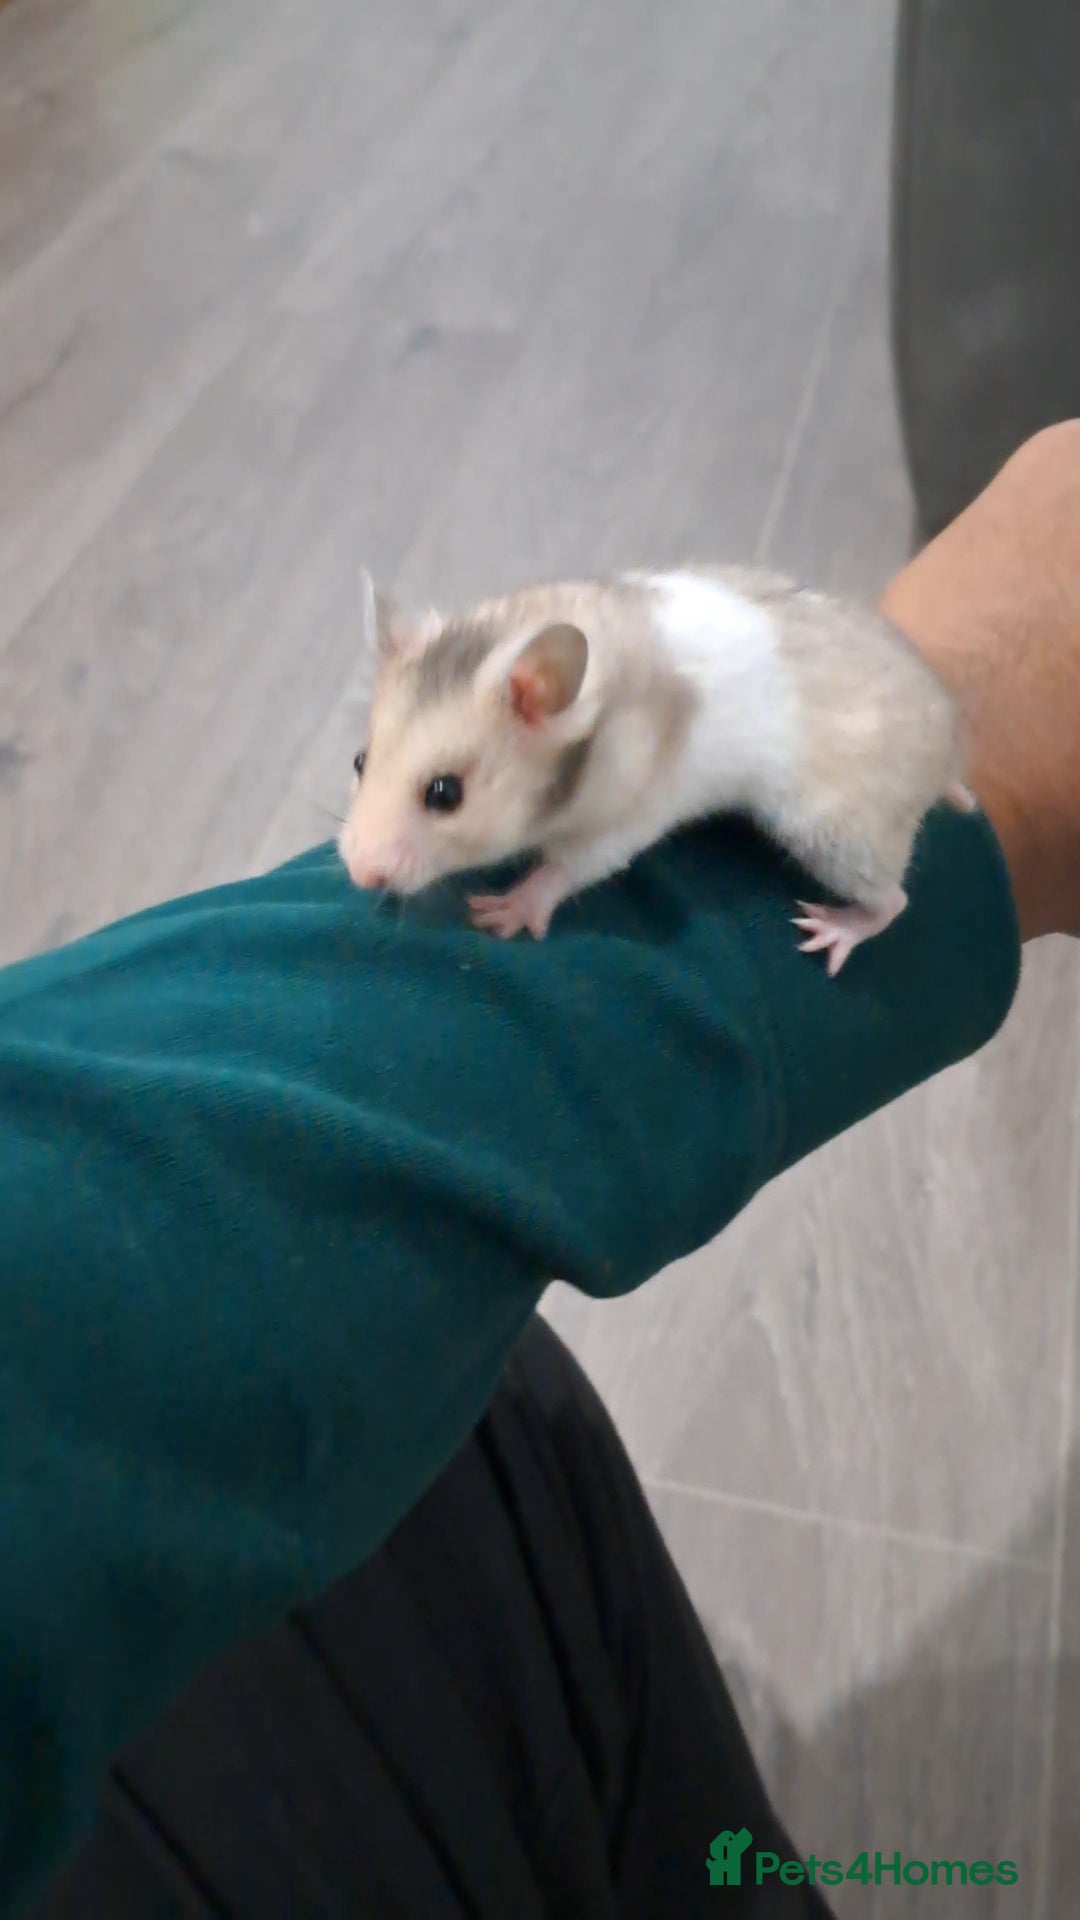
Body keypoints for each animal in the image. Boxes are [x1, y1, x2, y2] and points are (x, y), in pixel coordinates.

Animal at [339, 565, 974, 975]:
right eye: (359, 760)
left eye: (445, 794)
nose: (357, 875)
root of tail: (949, 747)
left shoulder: (628, 817)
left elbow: (566, 868)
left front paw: (501, 914)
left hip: (835, 832)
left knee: (894, 901)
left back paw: (830, 932)